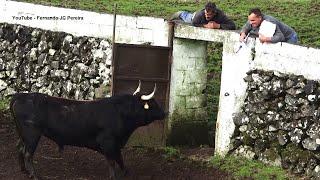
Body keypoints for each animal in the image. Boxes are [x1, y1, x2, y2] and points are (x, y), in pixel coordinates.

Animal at [9, 85, 166, 179]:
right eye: (153, 104)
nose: (164, 113)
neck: (120, 112)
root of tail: (20, 96)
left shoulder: (116, 143)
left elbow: (119, 158)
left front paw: (126, 171)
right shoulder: (108, 142)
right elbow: (112, 161)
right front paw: (113, 176)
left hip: (23, 134)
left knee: (20, 148)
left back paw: (24, 170)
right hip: (32, 135)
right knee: (28, 154)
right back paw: (34, 175)